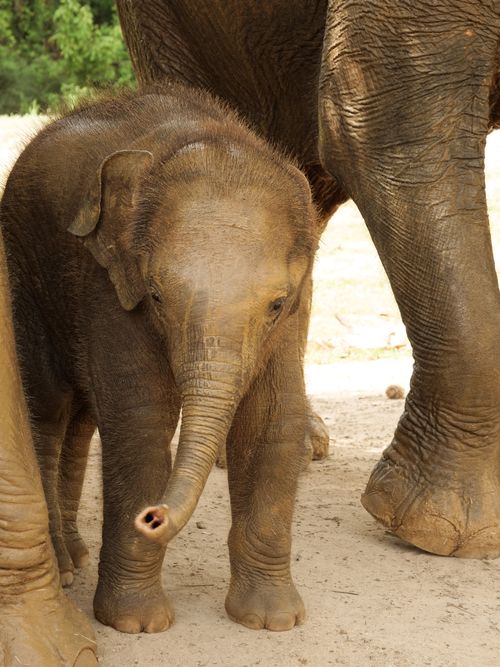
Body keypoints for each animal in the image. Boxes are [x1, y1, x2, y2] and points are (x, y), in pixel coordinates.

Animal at [1, 82, 318, 633]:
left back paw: (78, 556)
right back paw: (64, 568)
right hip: (25, 272)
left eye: (277, 304)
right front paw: (136, 625)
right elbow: (140, 420)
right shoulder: (109, 285)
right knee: (48, 409)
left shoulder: (293, 313)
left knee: (81, 420)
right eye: (155, 296)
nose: (152, 517)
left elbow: (270, 418)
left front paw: (271, 621)